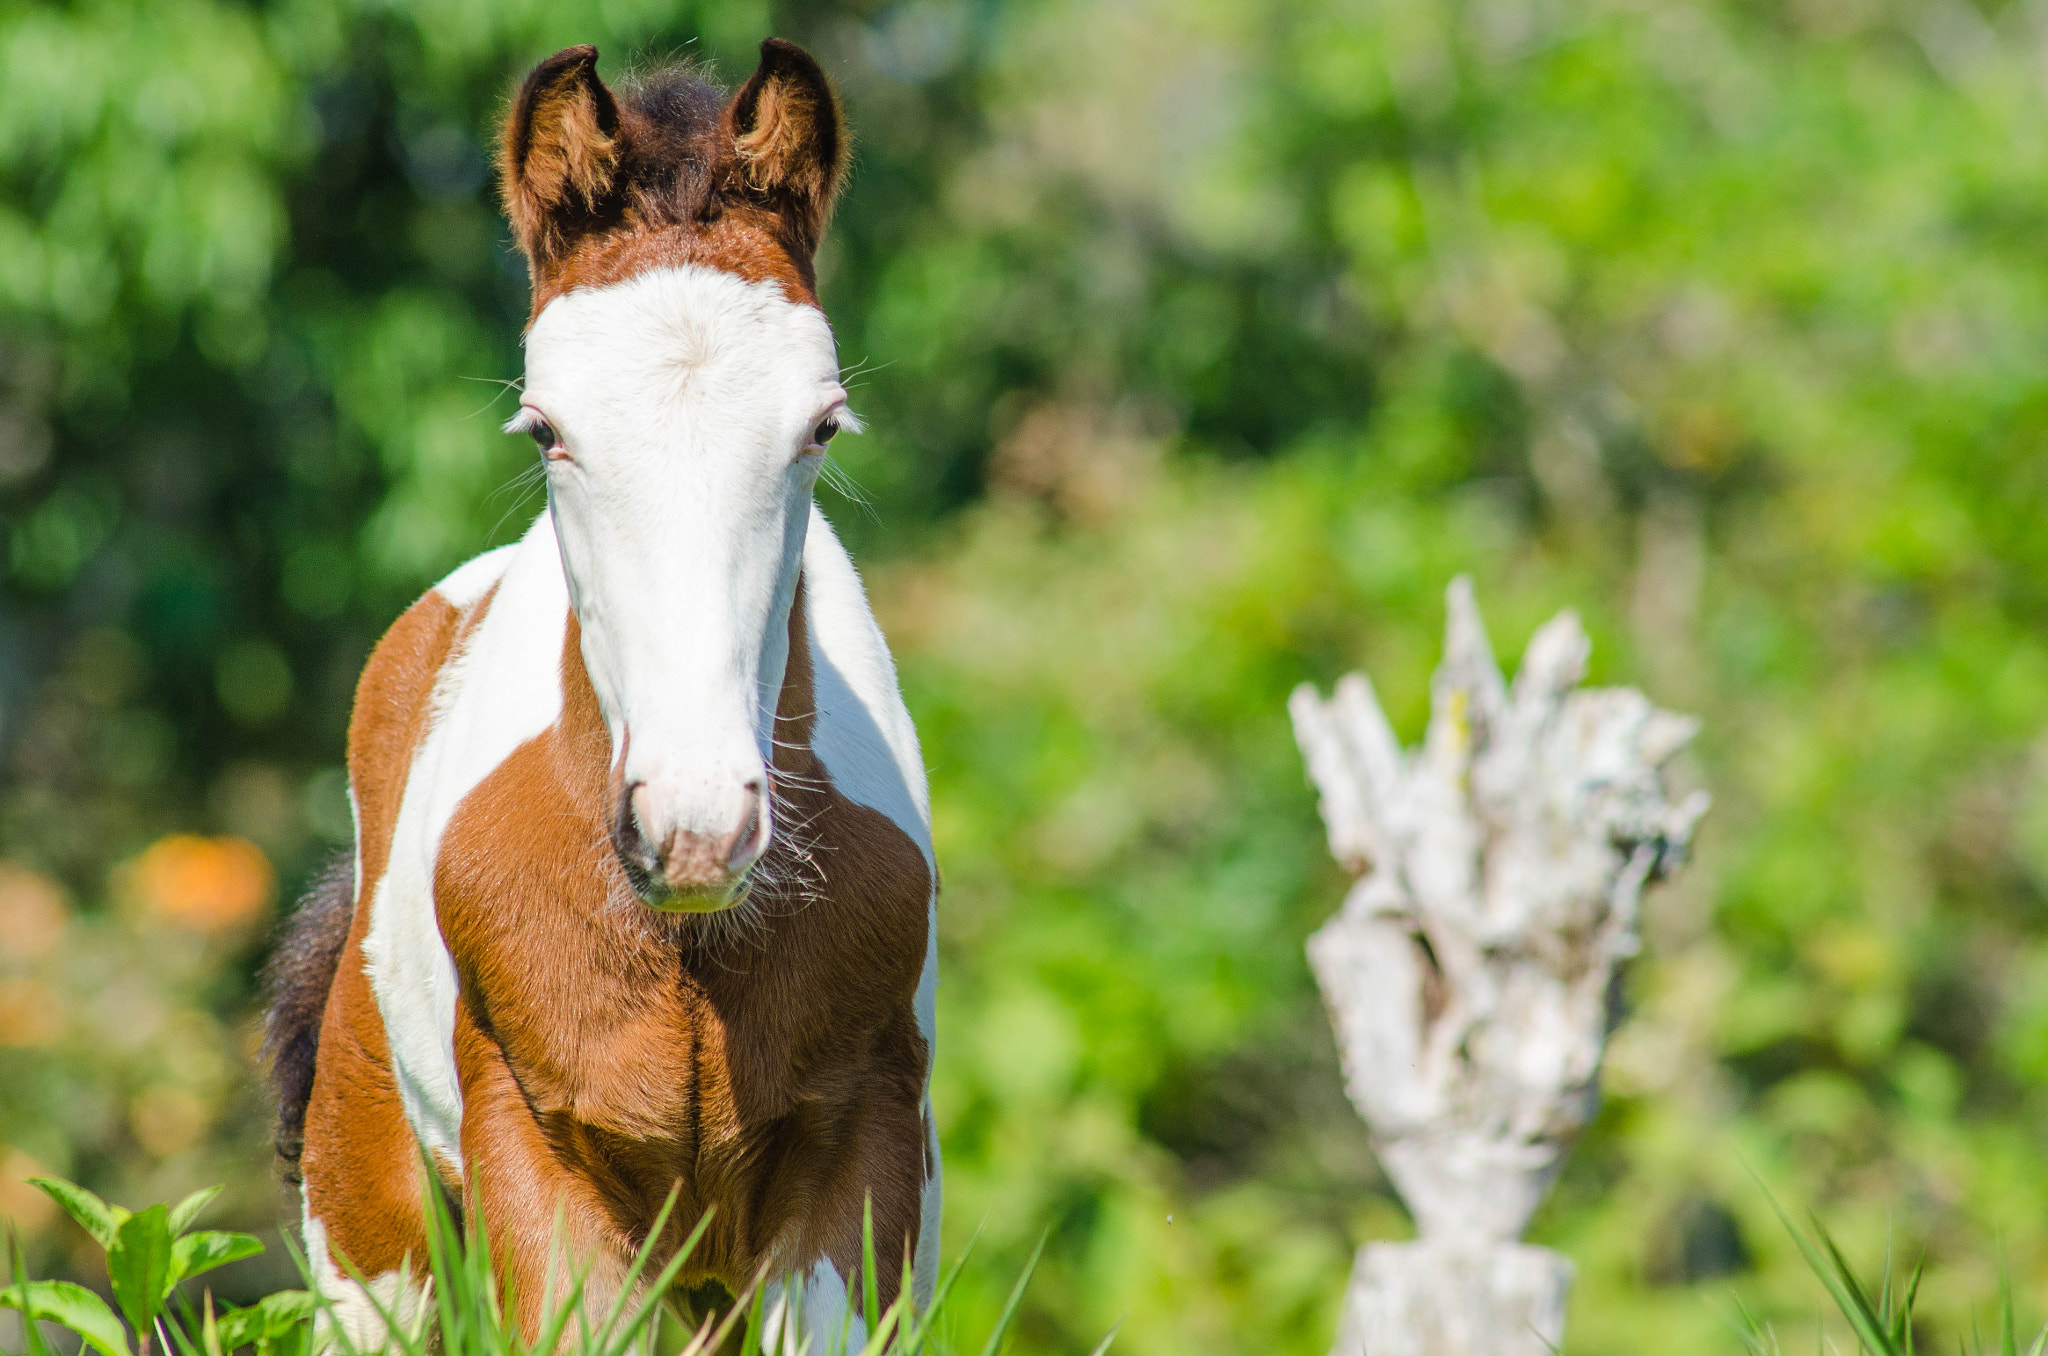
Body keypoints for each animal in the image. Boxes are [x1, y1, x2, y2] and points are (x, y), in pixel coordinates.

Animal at [268, 39, 937, 1351]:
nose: (692, 825)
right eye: (545, 431)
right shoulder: (542, 1172)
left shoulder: (858, 1177)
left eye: (822, 427)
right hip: (371, 1248)